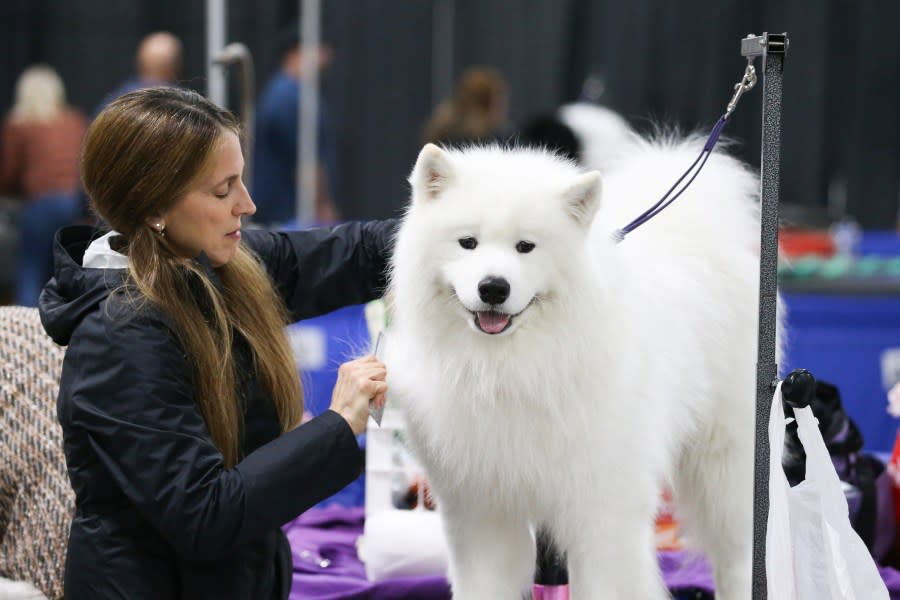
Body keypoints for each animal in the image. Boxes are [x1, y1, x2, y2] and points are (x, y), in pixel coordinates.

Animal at [384, 136, 768, 600]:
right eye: (468, 243)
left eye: (525, 247)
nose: (493, 288)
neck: (513, 367)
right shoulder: (482, 506)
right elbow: (484, 583)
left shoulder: (603, 508)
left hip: (723, 466)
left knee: (737, 555)